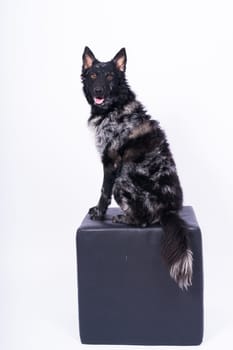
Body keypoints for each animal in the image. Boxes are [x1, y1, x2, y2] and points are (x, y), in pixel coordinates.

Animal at [81, 46, 192, 290]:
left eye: (109, 76)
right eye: (93, 75)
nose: (98, 90)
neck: (114, 107)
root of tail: (169, 211)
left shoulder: (110, 162)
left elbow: (103, 192)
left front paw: (99, 214)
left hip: (122, 182)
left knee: (142, 221)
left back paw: (123, 219)